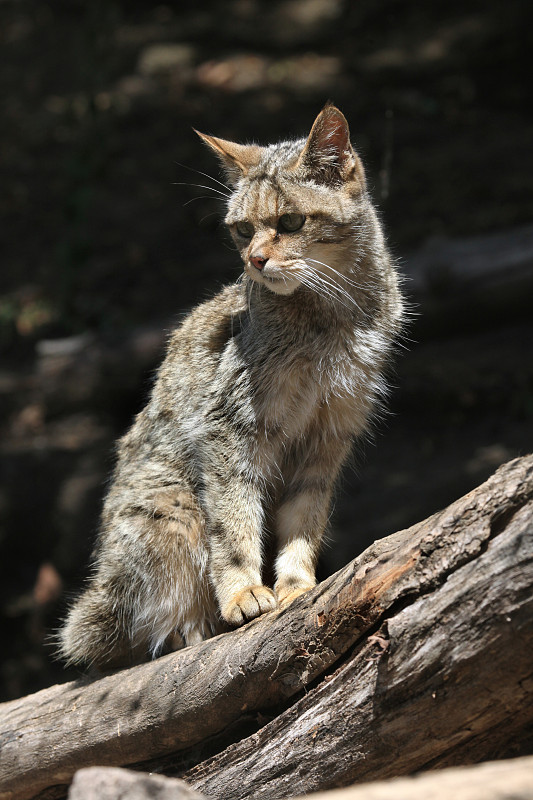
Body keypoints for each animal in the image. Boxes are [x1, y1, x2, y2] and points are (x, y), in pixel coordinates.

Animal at [58, 106, 404, 668]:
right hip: (173, 508)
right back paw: (194, 627)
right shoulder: (229, 428)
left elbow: (304, 521)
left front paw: (296, 583)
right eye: (242, 231)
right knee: (140, 628)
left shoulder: (329, 437)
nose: (255, 262)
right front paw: (243, 591)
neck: (329, 320)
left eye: (291, 222)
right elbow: (234, 521)